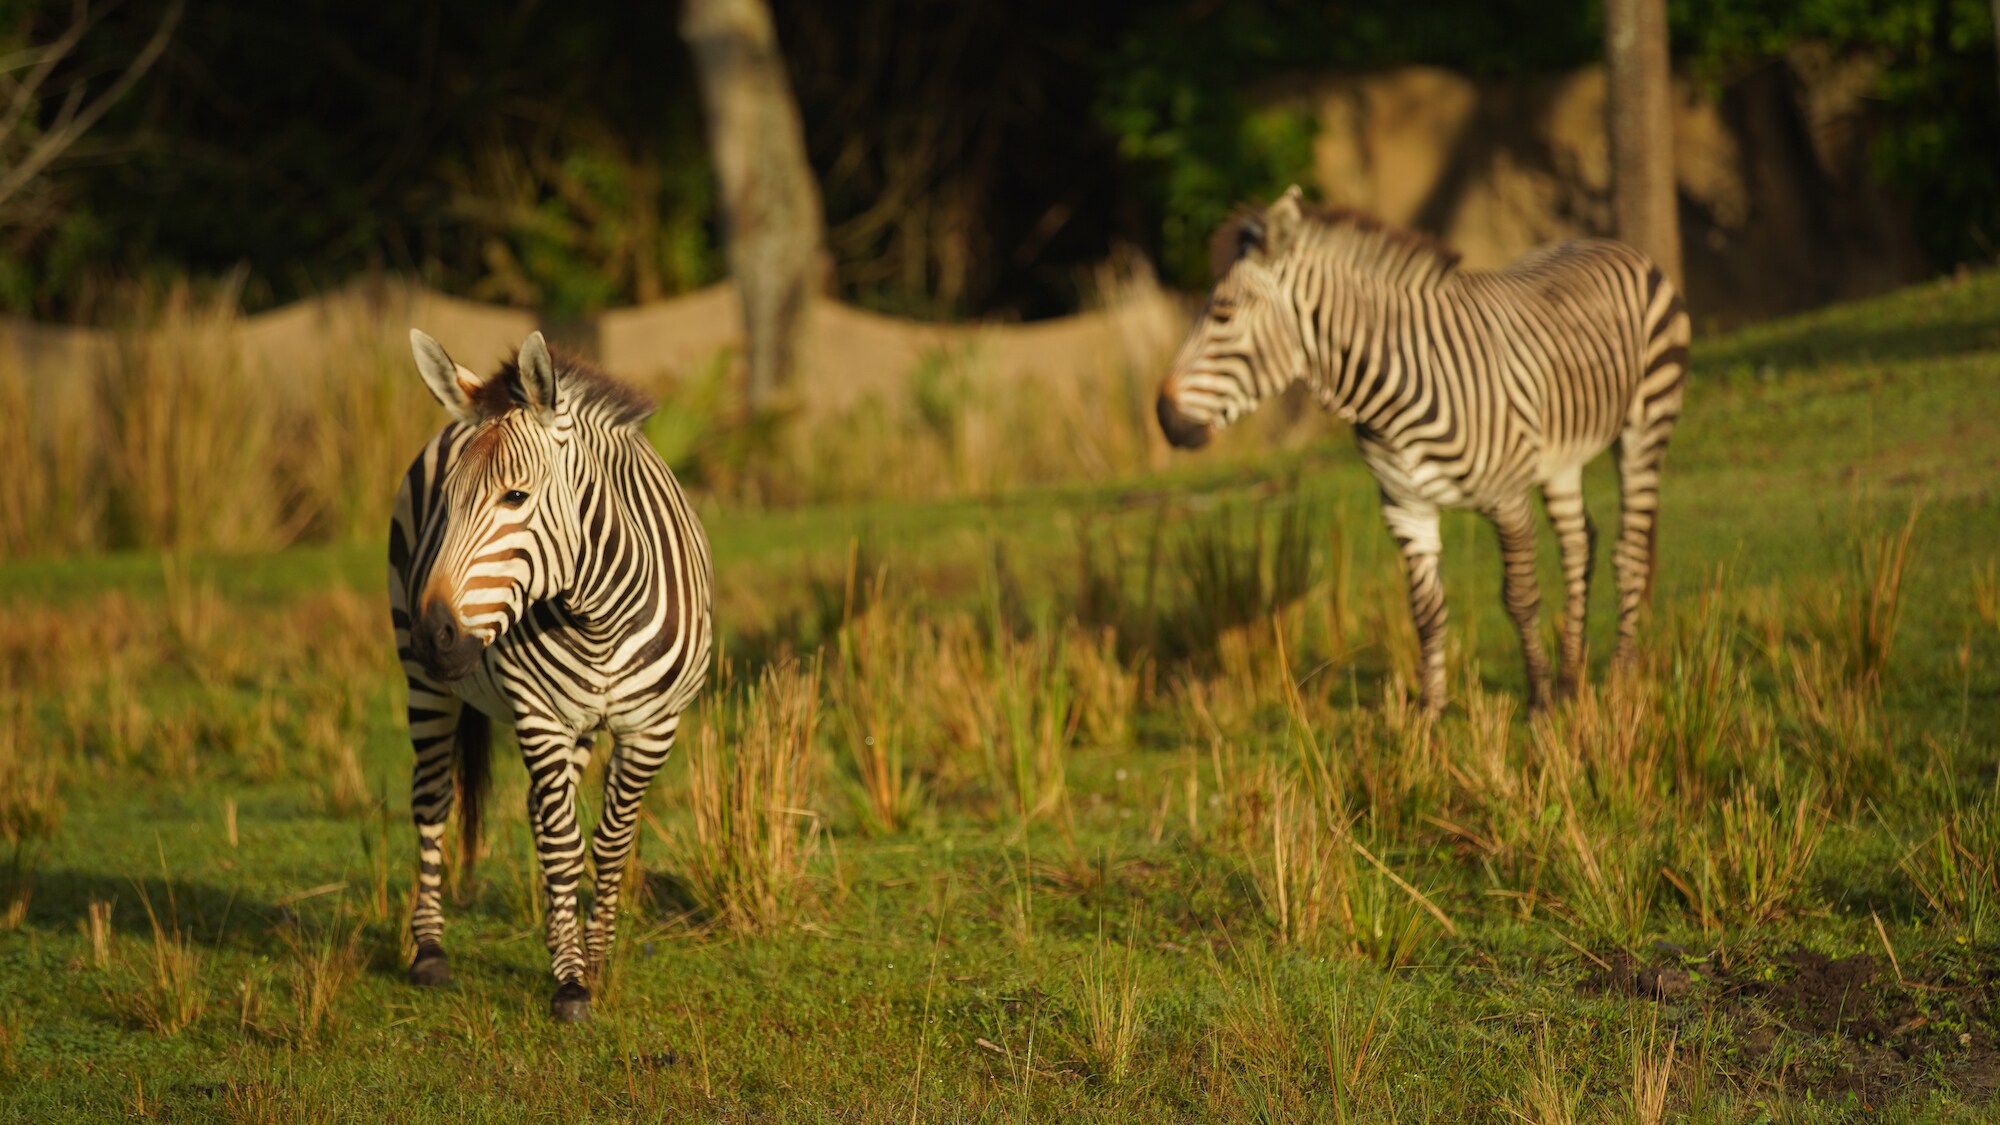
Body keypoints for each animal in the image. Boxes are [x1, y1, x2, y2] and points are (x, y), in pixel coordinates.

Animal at [390, 326, 712, 1016]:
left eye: (516, 496)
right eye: (446, 506)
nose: (435, 636)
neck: (600, 614)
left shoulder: (653, 728)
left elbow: (609, 842)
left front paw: (594, 957)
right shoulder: (539, 716)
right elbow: (565, 844)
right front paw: (570, 981)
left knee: (540, 806)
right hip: (424, 684)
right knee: (432, 798)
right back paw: (429, 951)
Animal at [1160, 186, 1688, 708]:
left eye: (1222, 314)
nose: (1164, 418)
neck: (1391, 399)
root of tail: (1613, 243)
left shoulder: (1508, 501)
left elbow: (1519, 598)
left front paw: (1538, 704)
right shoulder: (1405, 509)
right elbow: (1426, 609)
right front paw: (1428, 714)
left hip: (1646, 426)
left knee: (1629, 551)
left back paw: (1617, 680)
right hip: (1562, 458)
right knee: (1580, 543)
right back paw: (1571, 680)